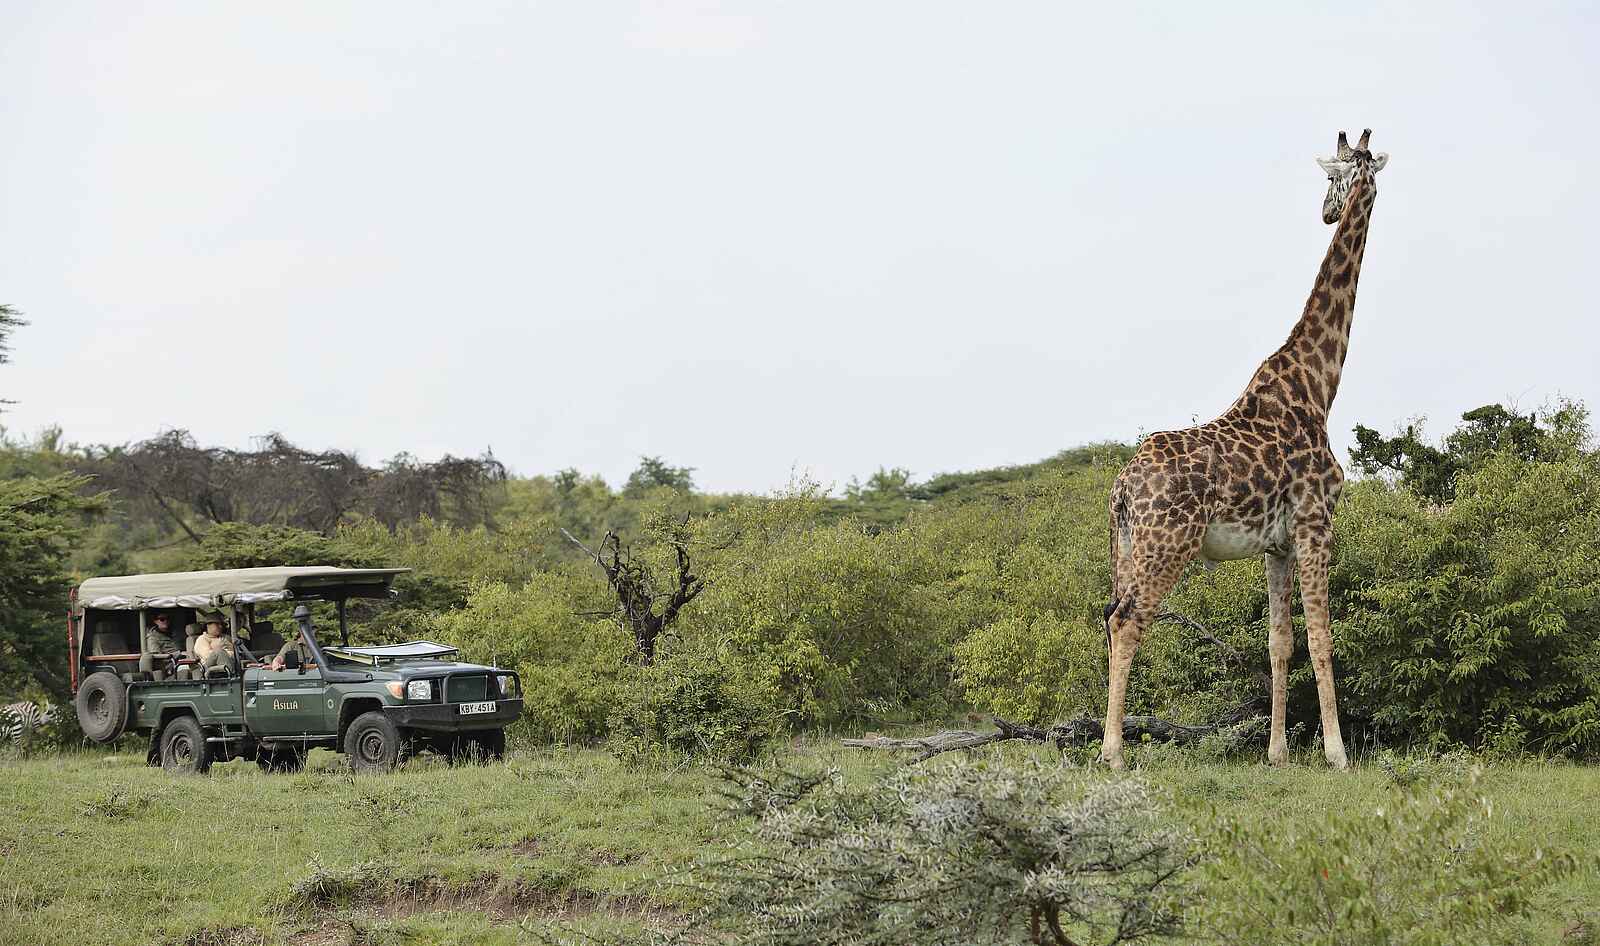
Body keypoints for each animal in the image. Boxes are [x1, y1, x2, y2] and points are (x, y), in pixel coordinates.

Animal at [1099, 129, 1389, 771]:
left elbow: (1281, 642)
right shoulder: (1315, 522)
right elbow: (1322, 636)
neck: (1318, 385)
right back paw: (1113, 753)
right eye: (1331, 175)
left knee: (1109, 616)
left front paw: (1278, 752)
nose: (1327, 210)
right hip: (1169, 545)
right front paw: (1338, 752)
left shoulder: (1276, 544)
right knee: (1129, 620)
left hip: (1127, 547)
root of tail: (1123, 488)